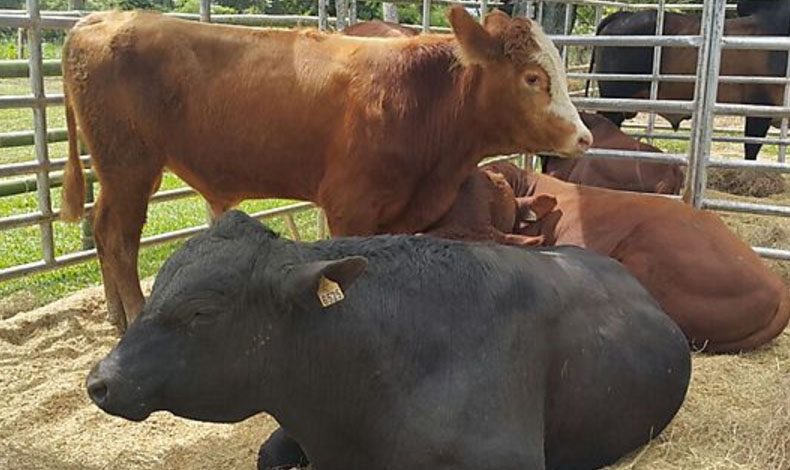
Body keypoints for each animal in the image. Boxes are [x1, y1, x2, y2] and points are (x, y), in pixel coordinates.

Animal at [60, 7, 592, 330]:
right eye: (533, 77)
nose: (583, 137)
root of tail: (102, 18)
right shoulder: (349, 205)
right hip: (128, 167)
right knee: (119, 237)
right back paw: (135, 314)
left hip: (120, 171)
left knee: (104, 232)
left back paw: (116, 314)